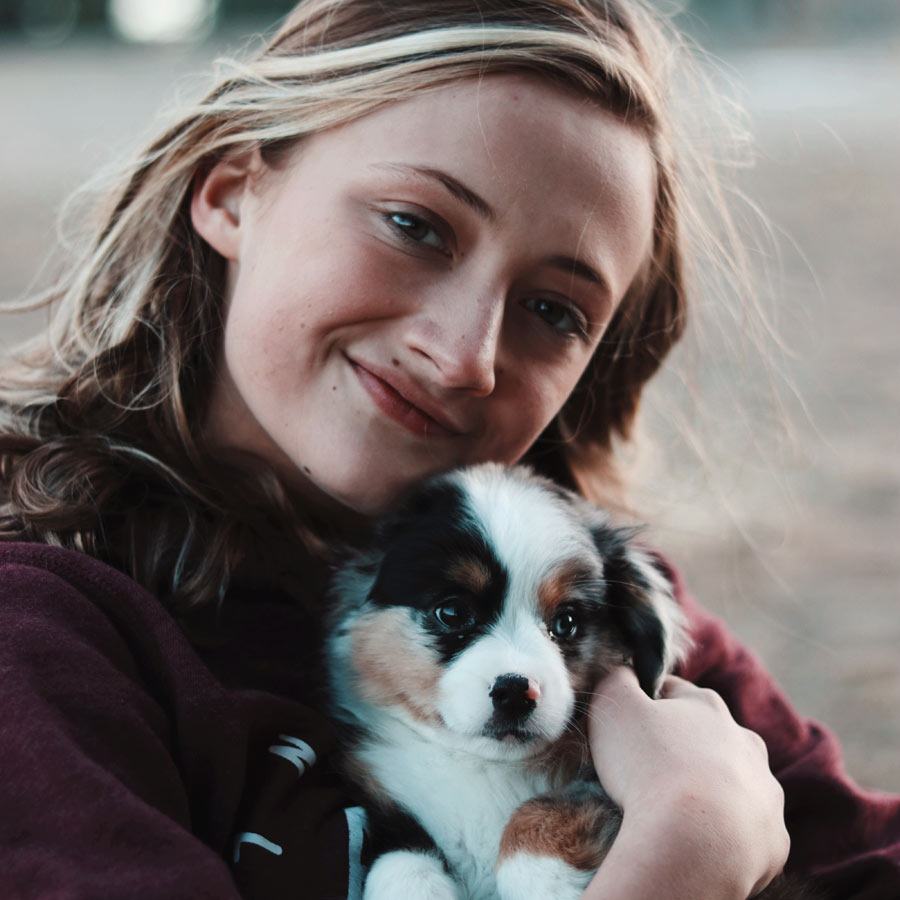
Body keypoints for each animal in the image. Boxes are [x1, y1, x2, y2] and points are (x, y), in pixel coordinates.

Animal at [328, 464, 816, 900]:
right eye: (451, 612)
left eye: (566, 623)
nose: (515, 693)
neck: (485, 769)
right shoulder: (383, 800)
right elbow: (397, 854)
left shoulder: (591, 788)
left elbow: (541, 814)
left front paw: (546, 883)